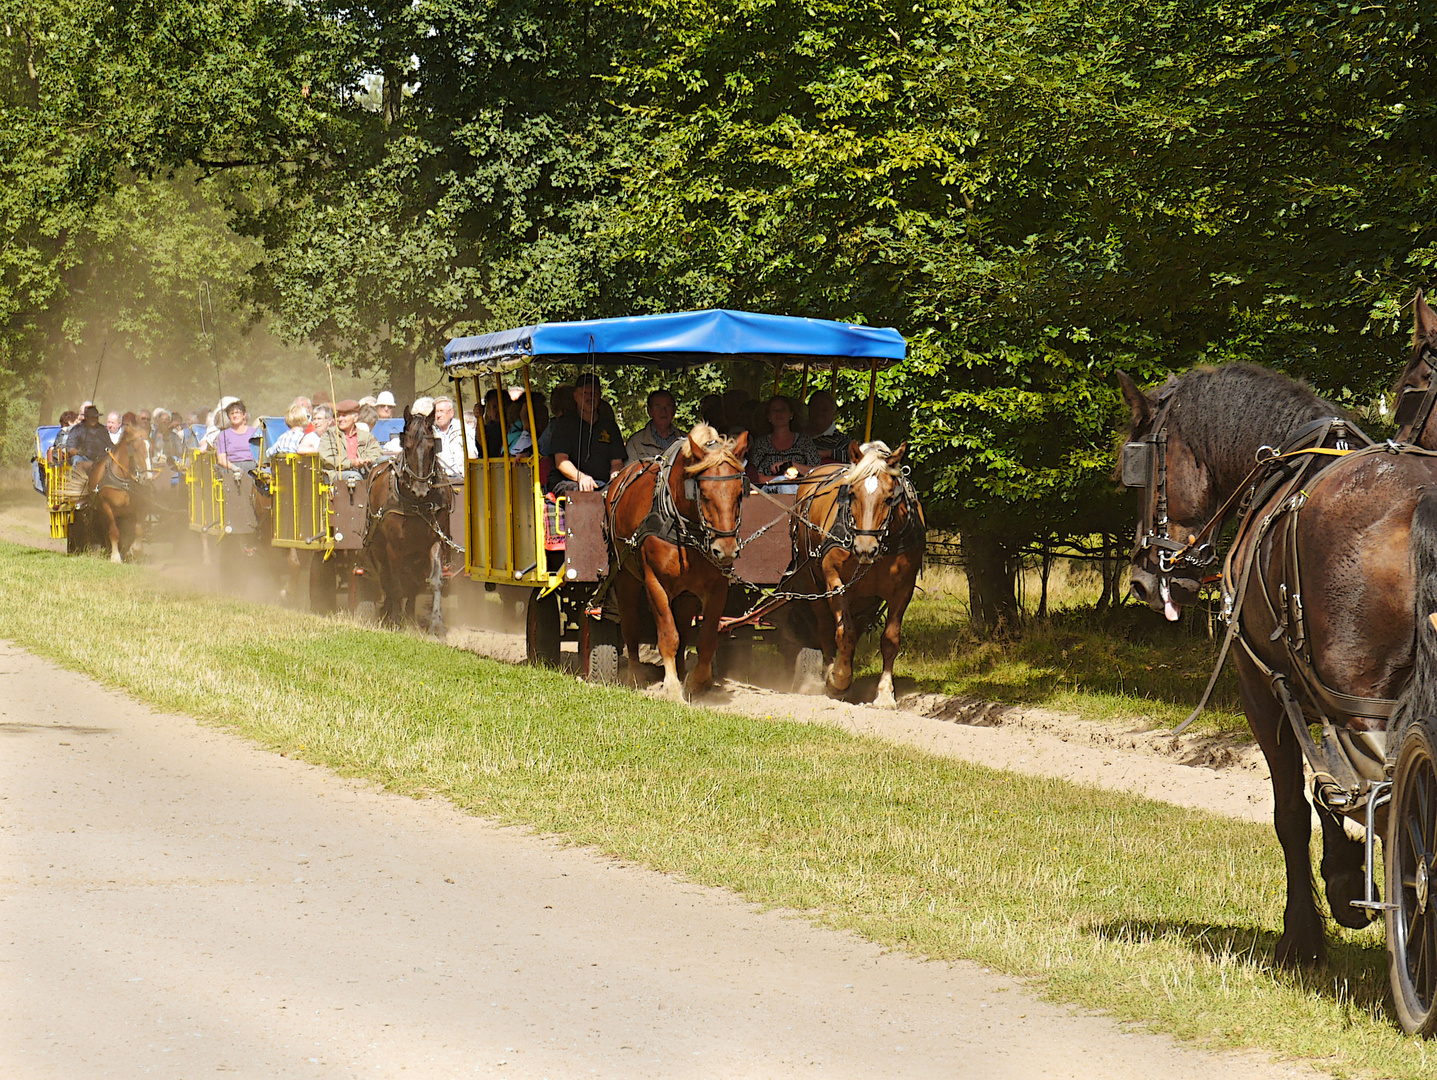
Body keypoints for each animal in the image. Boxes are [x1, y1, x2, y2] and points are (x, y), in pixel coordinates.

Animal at [362, 407, 445, 637]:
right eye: (407, 447)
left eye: (432, 447)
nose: (421, 489)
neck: (416, 504)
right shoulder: (393, 547)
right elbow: (396, 584)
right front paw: (395, 620)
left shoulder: (435, 541)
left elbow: (434, 581)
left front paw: (436, 624)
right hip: (379, 547)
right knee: (386, 579)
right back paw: (388, 613)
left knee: (413, 583)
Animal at [603, 422, 747, 700]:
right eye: (703, 493)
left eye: (740, 493)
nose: (725, 551)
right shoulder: (655, 584)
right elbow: (668, 636)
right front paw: (671, 687)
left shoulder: (717, 587)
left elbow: (706, 638)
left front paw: (697, 682)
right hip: (626, 578)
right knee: (630, 625)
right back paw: (634, 674)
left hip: (685, 595)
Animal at [781, 439, 925, 709]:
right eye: (852, 493)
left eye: (890, 497)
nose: (865, 548)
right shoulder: (834, 581)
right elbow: (842, 632)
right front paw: (838, 677)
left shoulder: (903, 588)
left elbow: (890, 639)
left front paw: (885, 693)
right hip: (813, 583)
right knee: (826, 628)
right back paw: (831, 671)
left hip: (867, 599)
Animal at [1115, 363, 1437, 970]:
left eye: (1140, 468)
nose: (1144, 579)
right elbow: (1328, 791)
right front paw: (1342, 882)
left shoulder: (1264, 689)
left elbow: (1295, 808)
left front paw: (1304, 931)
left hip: (1361, 705)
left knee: (1390, 811)